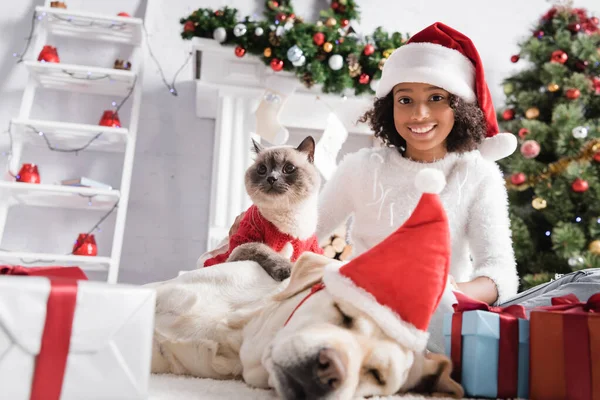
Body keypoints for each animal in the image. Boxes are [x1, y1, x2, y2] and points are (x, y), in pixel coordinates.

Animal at [202, 138, 324, 282]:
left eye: (289, 168)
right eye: (262, 169)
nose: (271, 178)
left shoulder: (313, 248)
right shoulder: (243, 244)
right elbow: (265, 250)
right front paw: (289, 269)